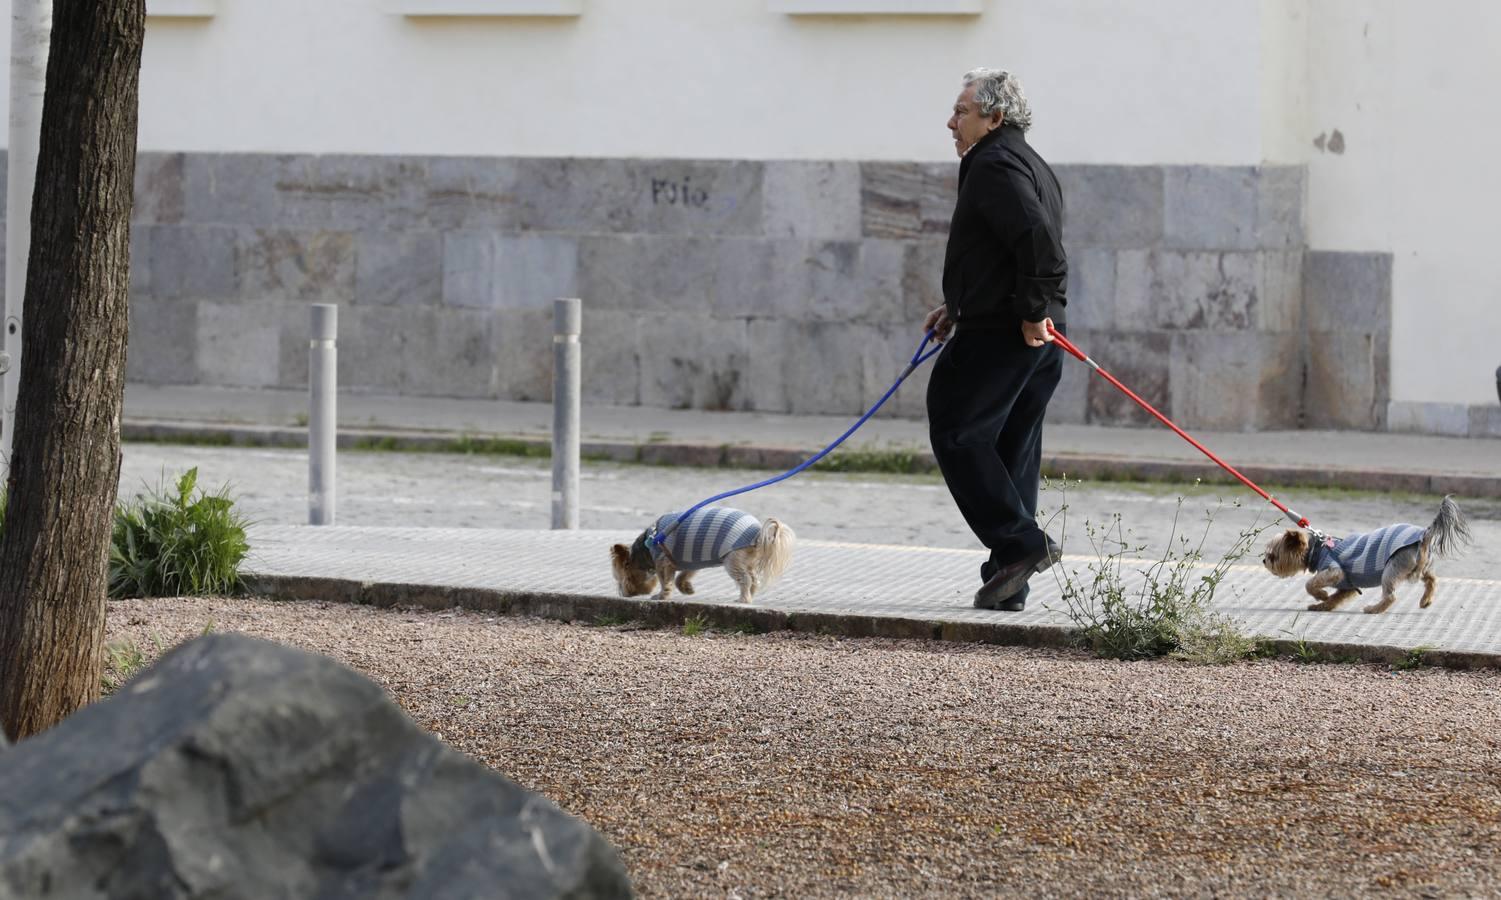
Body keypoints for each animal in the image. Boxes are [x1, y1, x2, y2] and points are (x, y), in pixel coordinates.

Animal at [609, 507, 798, 606]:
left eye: (621, 579)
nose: (622, 593)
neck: (647, 546)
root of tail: (758, 533)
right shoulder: (690, 561)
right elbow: (683, 575)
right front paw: (686, 588)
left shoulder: (663, 561)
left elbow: (666, 581)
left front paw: (661, 596)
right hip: (746, 561)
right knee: (753, 579)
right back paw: (749, 596)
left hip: (732, 560)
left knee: (745, 579)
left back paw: (743, 599)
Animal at [1260, 495, 1470, 615]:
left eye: (1273, 556)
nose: (1263, 561)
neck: (1318, 549)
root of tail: (1423, 534)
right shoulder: (1347, 587)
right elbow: (1335, 598)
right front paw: (1321, 605)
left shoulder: (1334, 571)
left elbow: (1310, 583)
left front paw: (1320, 595)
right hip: (1421, 566)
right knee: (1432, 580)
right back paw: (1425, 600)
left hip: (1392, 568)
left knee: (1391, 596)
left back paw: (1373, 609)